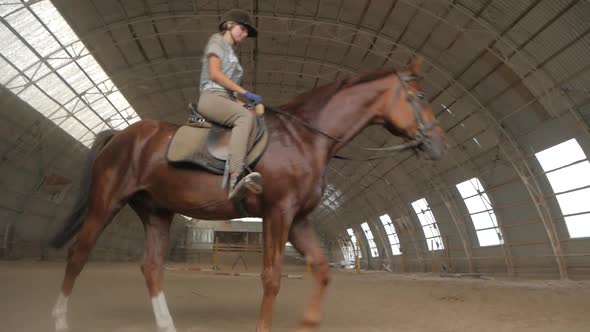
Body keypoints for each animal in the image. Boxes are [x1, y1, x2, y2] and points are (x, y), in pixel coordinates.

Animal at [49, 57, 448, 332]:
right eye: (420, 96)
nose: (438, 143)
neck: (304, 138)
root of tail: (121, 134)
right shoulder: (278, 212)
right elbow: (271, 278)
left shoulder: (298, 220)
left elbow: (321, 269)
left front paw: (308, 322)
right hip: (106, 203)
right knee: (78, 255)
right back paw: (60, 320)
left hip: (156, 211)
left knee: (151, 266)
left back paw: (167, 325)